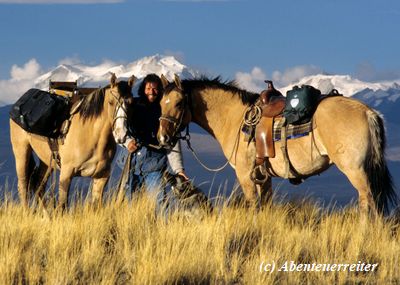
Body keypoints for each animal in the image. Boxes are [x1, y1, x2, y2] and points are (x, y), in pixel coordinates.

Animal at [10, 74, 136, 209]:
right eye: (111, 102)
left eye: (131, 103)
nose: (121, 135)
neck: (92, 137)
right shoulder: (66, 174)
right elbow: (62, 206)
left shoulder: (102, 177)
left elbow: (96, 205)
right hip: (21, 152)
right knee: (23, 186)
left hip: (47, 160)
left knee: (39, 184)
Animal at [158, 74, 398, 214]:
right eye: (161, 102)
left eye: (178, 103)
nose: (163, 138)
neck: (234, 118)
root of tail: (368, 112)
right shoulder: (263, 177)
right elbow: (265, 206)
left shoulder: (244, 174)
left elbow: (253, 205)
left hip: (355, 169)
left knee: (367, 201)